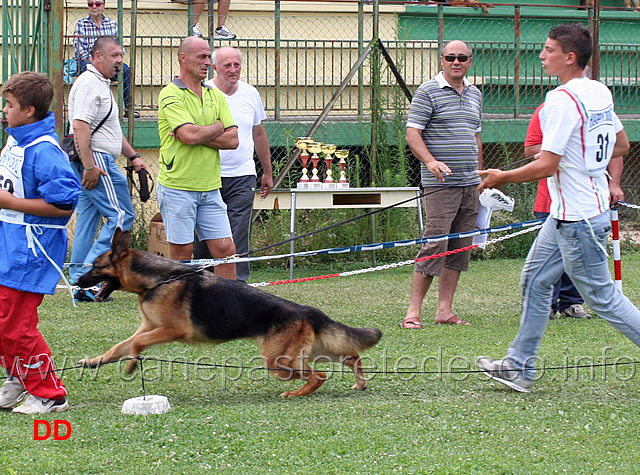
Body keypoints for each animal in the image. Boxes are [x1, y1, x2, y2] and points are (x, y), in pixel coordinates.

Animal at [77, 230, 382, 398]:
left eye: (95, 266)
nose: (79, 282)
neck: (159, 279)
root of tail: (308, 311)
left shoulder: (171, 331)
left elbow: (136, 345)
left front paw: (131, 364)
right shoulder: (148, 328)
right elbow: (120, 346)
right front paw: (94, 362)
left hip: (278, 361)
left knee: (317, 375)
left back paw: (296, 393)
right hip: (311, 351)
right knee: (351, 357)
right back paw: (360, 384)